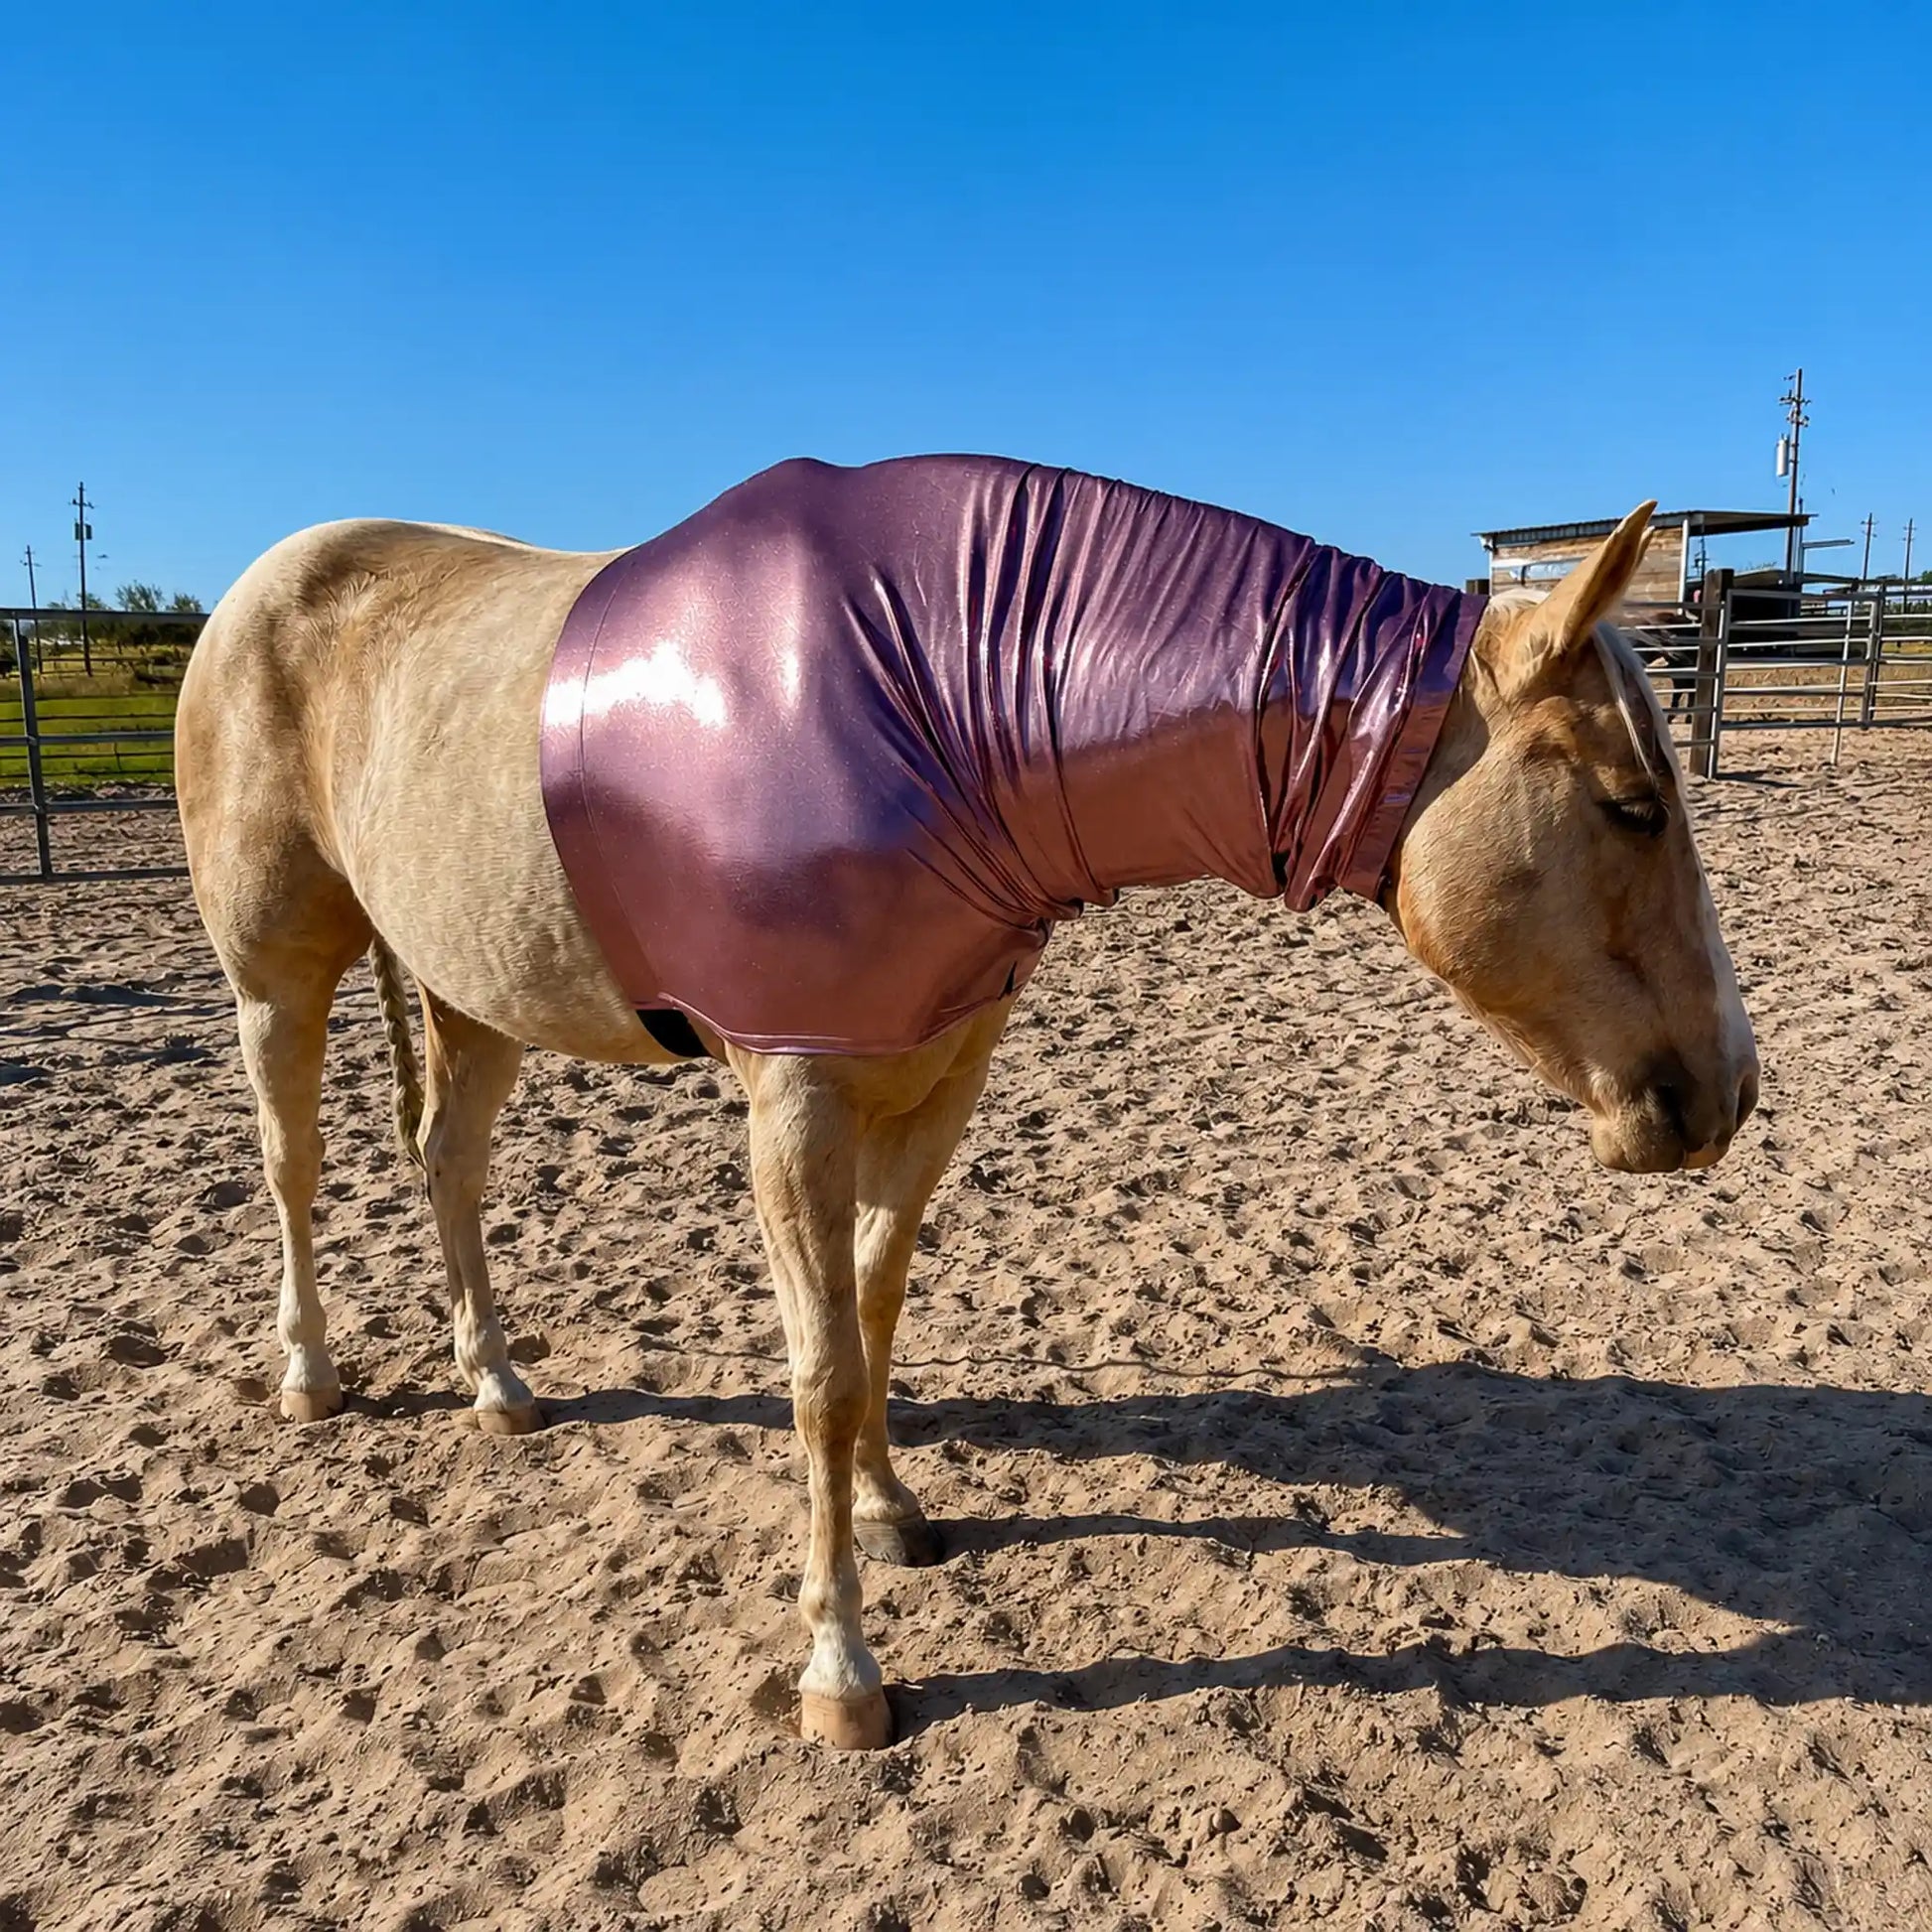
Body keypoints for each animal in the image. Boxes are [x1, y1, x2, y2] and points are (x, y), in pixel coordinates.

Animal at [175, 457, 1758, 1751]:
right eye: (1631, 804)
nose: (1727, 1093)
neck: (928, 704)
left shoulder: (939, 1083)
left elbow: (875, 1321)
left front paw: (892, 1512)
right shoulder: (794, 1106)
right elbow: (818, 1376)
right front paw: (839, 1670)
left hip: (471, 988)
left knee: (447, 1163)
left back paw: (497, 1383)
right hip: (278, 975)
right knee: (293, 1164)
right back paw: (310, 1372)